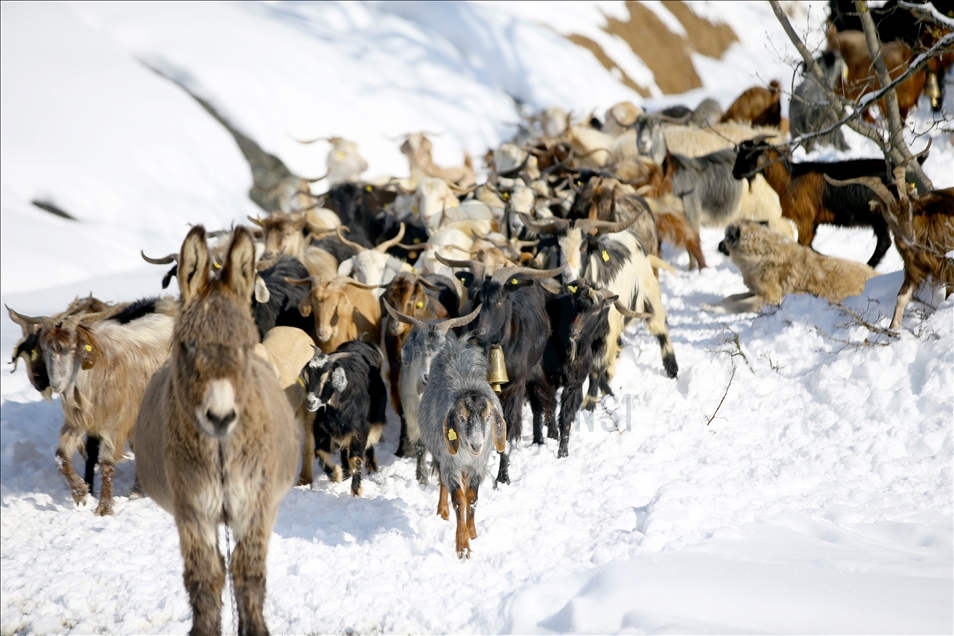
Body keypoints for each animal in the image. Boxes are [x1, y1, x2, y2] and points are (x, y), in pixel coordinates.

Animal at [418, 332, 506, 556]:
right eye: (461, 417)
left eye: (488, 417)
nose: (476, 445)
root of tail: (455, 346)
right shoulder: (451, 464)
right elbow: (458, 499)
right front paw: (462, 547)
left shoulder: (478, 466)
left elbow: (472, 498)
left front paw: (472, 533)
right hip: (440, 454)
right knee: (442, 482)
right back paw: (442, 512)